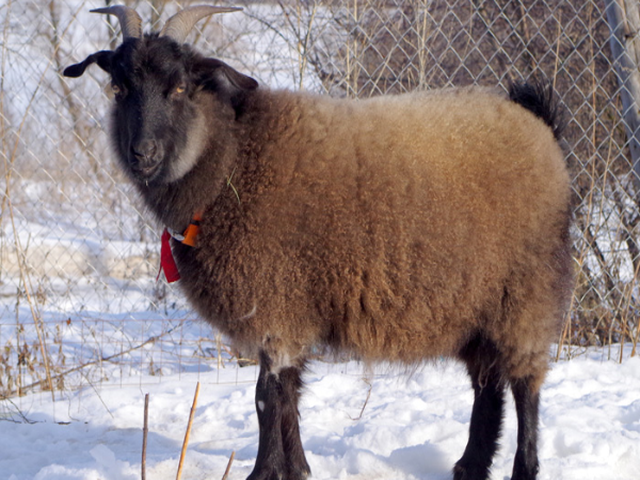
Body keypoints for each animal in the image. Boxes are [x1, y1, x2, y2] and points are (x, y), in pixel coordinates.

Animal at [64, 5, 574, 480]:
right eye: (119, 89)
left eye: (180, 88)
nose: (142, 154)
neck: (232, 160)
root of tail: (536, 121)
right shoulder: (288, 311)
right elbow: (287, 394)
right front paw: (298, 469)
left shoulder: (276, 301)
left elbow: (266, 398)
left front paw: (264, 472)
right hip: (475, 305)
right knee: (487, 385)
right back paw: (470, 466)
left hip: (526, 292)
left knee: (526, 384)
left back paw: (523, 467)